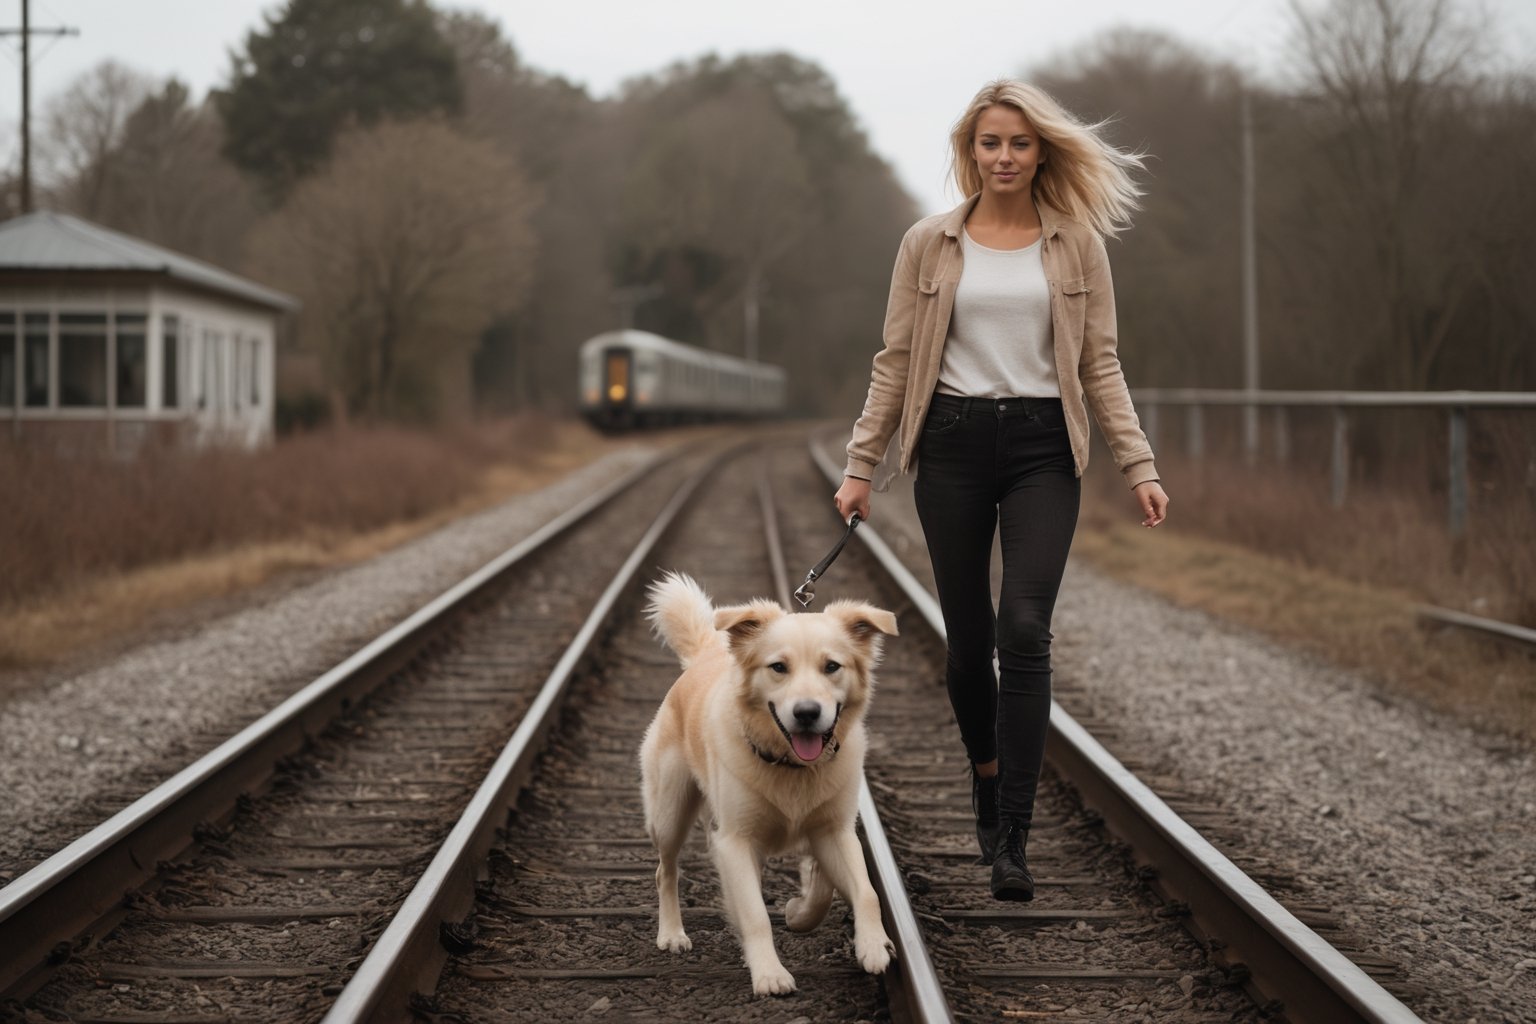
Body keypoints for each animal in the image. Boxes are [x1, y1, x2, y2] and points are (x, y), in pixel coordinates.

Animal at [638, 574, 897, 994]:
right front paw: (769, 974)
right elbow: (756, 914)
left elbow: (864, 891)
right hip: (670, 812)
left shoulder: (835, 831)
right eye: (778, 667)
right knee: (667, 870)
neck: (792, 765)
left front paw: (870, 944)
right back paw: (672, 934)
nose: (807, 713)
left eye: (832, 666)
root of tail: (705, 653)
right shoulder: (734, 841)